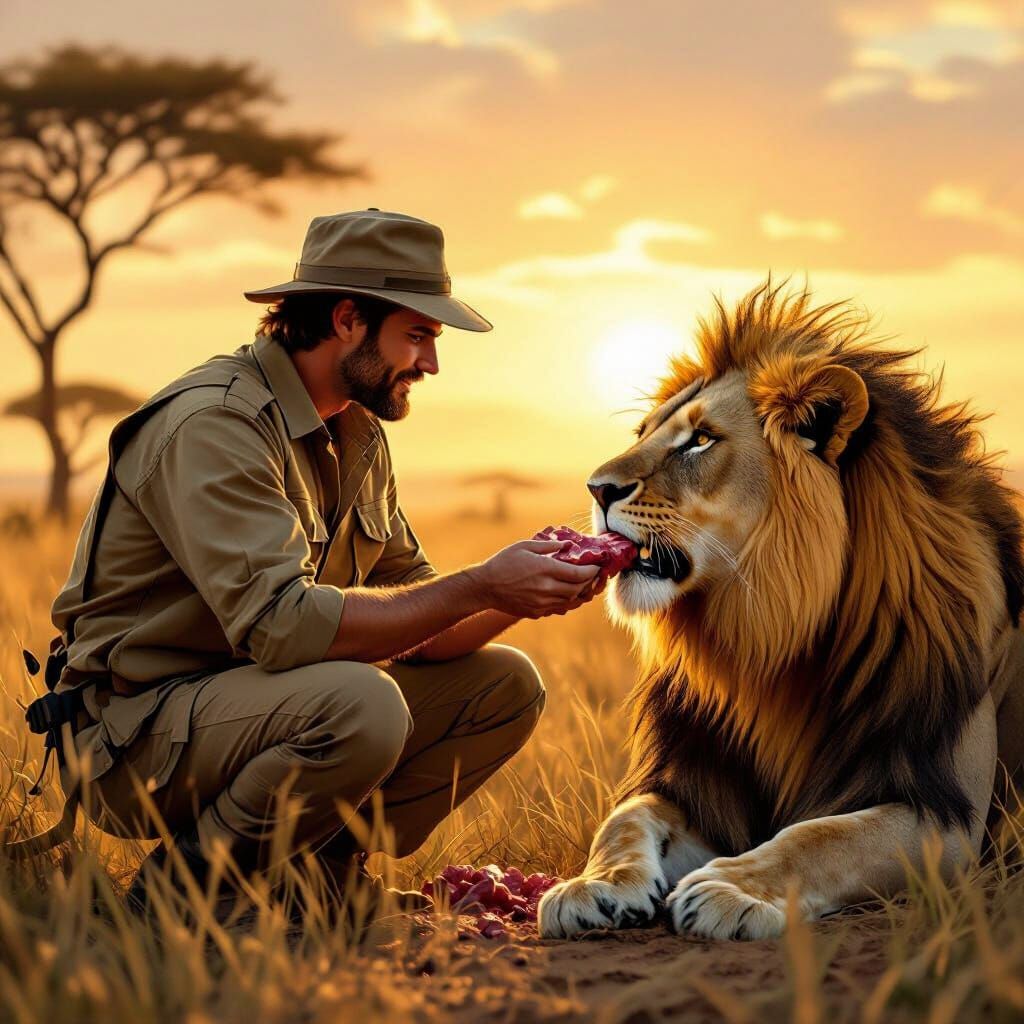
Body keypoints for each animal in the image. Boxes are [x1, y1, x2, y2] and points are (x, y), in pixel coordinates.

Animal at [538, 280, 1024, 941]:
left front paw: (728, 890)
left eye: (700, 440)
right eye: (644, 432)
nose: (596, 488)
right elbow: (626, 816)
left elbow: (818, 836)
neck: (765, 641)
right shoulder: (704, 788)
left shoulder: (946, 814)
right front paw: (594, 885)